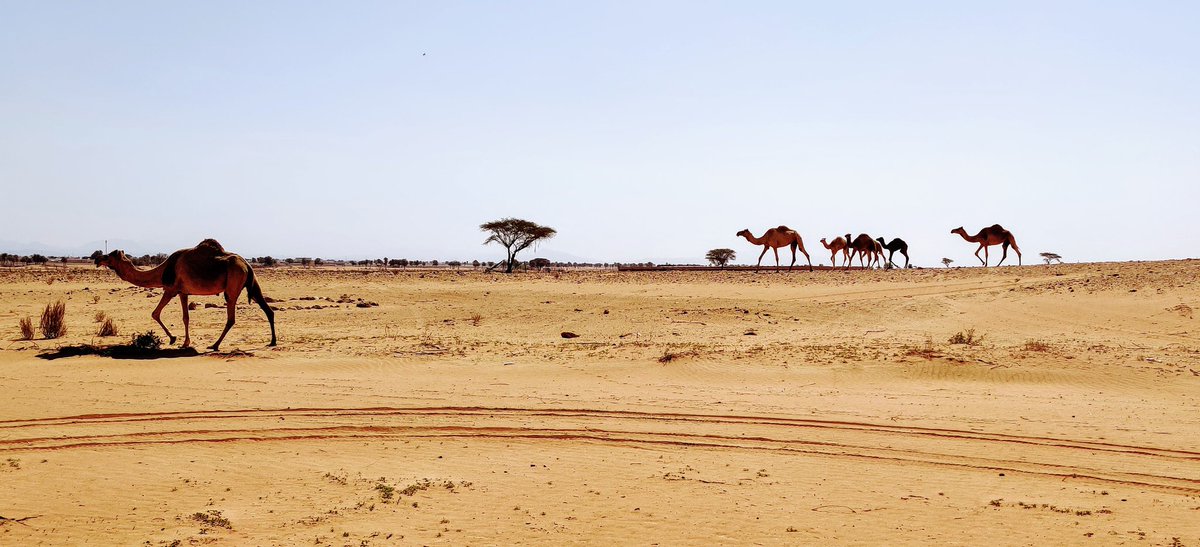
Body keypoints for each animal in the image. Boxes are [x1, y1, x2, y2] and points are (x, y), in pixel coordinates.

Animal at [95, 239, 276, 350]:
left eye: (109, 255)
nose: (97, 259)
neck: (163, 271)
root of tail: (247, 264)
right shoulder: (183, 292)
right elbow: (185, 317)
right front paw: (185, 342)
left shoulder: (170, 289)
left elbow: (155, 313)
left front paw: (174, 339)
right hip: (251, 284)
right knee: (268, 310)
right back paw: (272, 342)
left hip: (232, 286)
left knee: (231, 318)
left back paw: (215, 345)